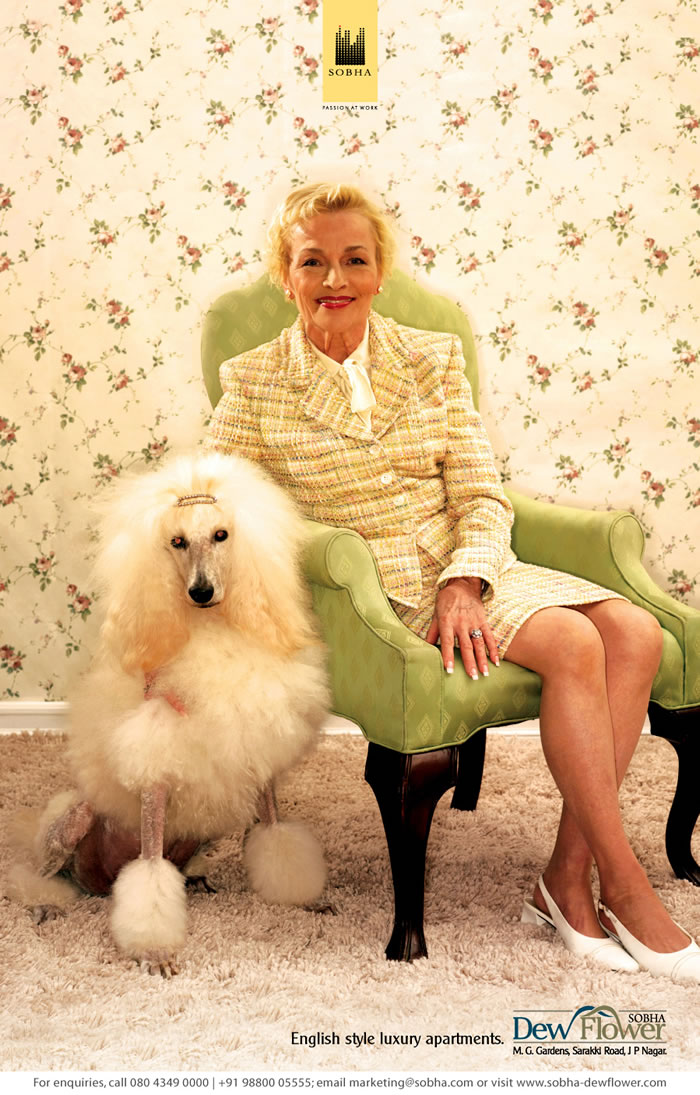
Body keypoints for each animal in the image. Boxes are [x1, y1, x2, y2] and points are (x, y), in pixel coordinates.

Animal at [5, 452, 330, 975]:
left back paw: (196, 877)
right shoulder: (155, 756)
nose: (200, 591)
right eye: (176, 542)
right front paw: (154, 951)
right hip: (73, 824)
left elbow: (275, 833)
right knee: (40, 873)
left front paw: (304, 898)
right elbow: (151, 870)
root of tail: (100, 885)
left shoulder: (259, 749)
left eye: (221, 534)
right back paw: (46, 903)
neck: (211, 631)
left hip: (205, 826)